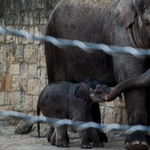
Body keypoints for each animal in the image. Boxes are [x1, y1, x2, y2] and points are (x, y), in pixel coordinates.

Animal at [44, 0, 150, 149]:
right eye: (147, 23)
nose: (118, 98)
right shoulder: (120, 34)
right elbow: (130, 75)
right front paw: (136, 144)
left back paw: (100, 139)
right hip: (53, 42)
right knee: (58, 81)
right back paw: (57, 141)